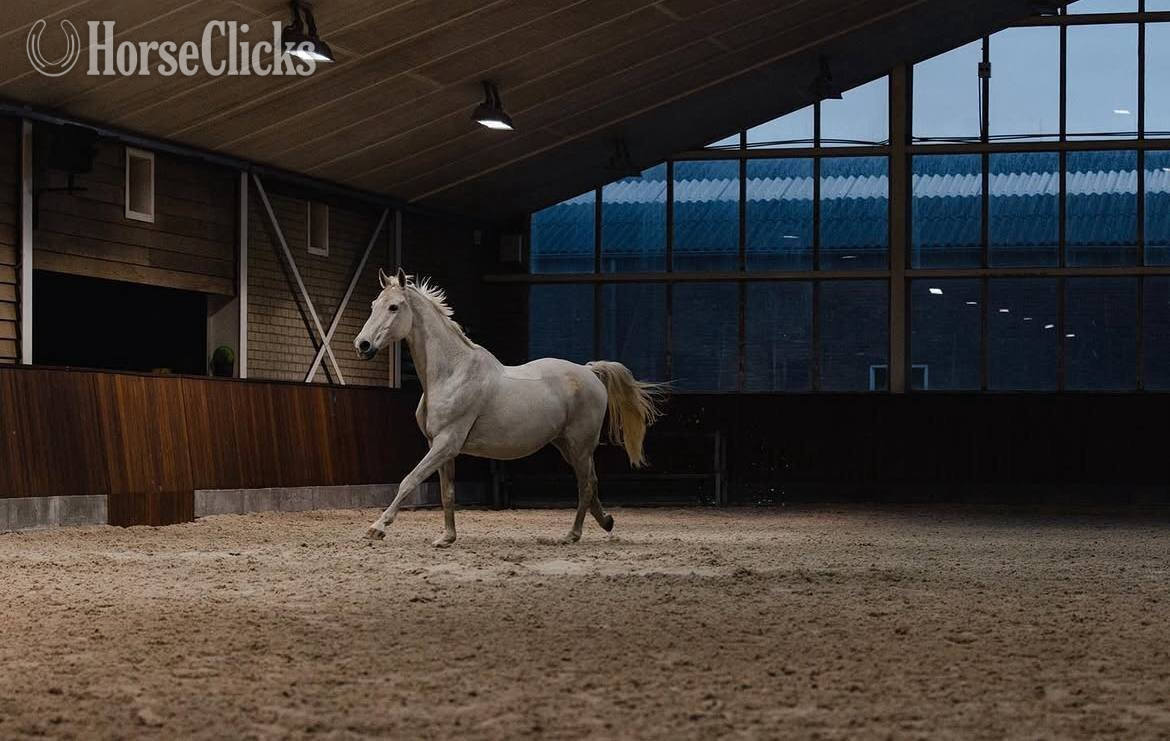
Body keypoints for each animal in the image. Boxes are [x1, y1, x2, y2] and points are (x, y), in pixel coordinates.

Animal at [354, 267, 663, 547]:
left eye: (394, 306)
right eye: (373, 305)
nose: (362, 345)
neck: (452, 372)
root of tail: (589, 372)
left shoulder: (446, 443)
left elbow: (409, 480)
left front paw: (377, 528)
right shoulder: (440, 446)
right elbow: (447, 492)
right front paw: (446, 538)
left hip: (580, 445)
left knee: (585, 485)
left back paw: (572, 535)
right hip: (566, 444)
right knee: (592, 483)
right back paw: (606, 521)